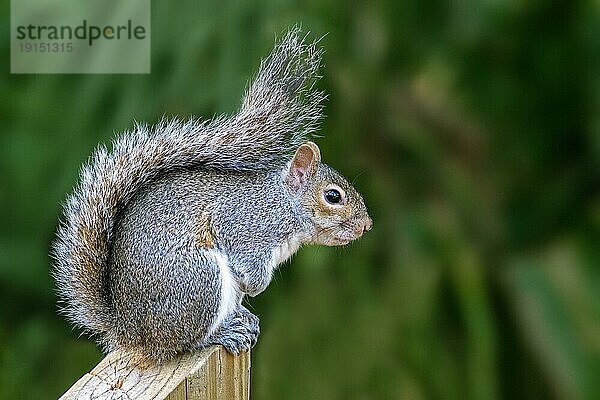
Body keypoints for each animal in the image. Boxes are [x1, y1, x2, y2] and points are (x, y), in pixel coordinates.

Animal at [51, 29, 372, 364]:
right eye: (333, 196)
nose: (367, 225)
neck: (283, 203)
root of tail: (133, 333)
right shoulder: (244, 224)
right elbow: (246, 259)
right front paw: (256, 286)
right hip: (199, 281)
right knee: (186, 342)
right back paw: (223, 332)